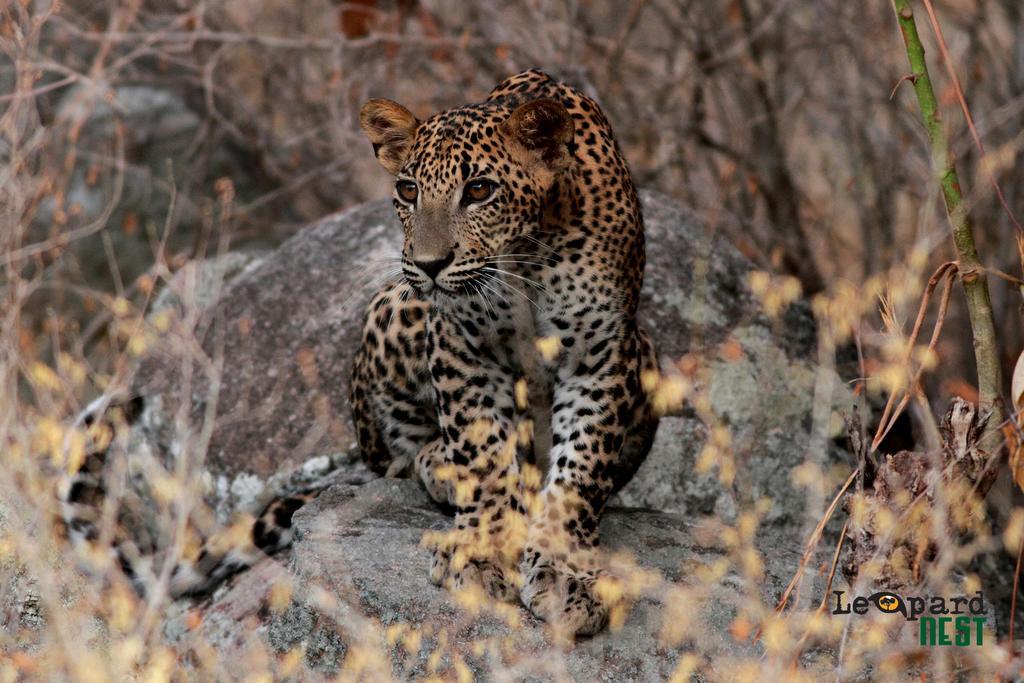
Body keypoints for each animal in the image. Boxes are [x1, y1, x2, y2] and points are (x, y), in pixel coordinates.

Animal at [348, 69, 659, 634]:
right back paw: (440, 467)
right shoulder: (460, 344)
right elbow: (482, 455)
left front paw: (565, 571)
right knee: (401, 456)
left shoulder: (602, 354)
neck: (526, 256)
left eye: (479, 189)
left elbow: (581, 471)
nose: (428, 264)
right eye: (408, 190)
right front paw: (485, 549)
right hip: (395, 307)